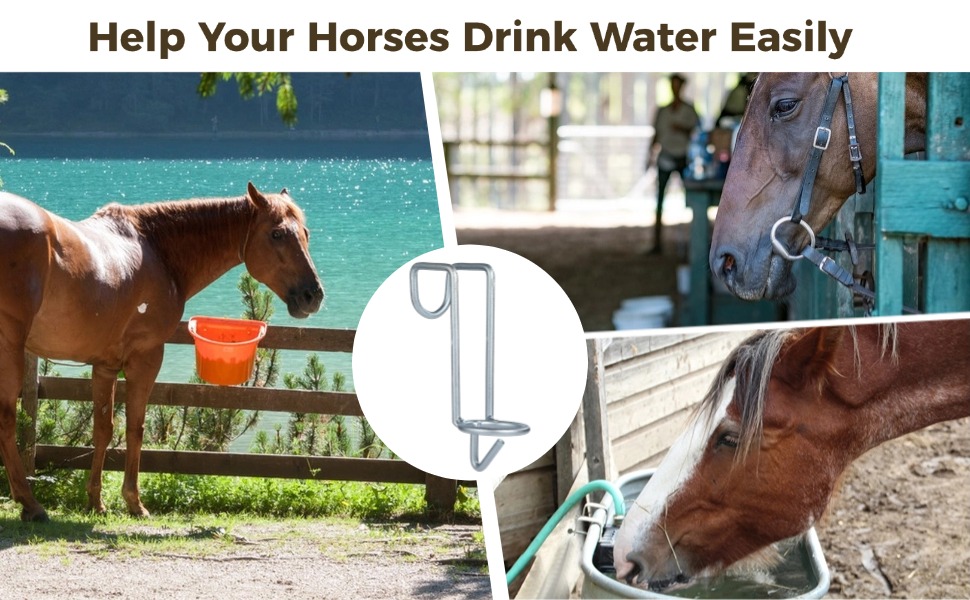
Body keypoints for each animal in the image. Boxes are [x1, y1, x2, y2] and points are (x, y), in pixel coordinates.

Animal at [0, 182, 324, 521]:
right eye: (277, 234)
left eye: (305, 233)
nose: (313, 295)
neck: (158, 251)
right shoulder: (147, 358)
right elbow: (135, 428)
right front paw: (134, 501)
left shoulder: (105, 366)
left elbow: (103, 429)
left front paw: (96, 502)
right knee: (6, 422)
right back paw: (30, 503)